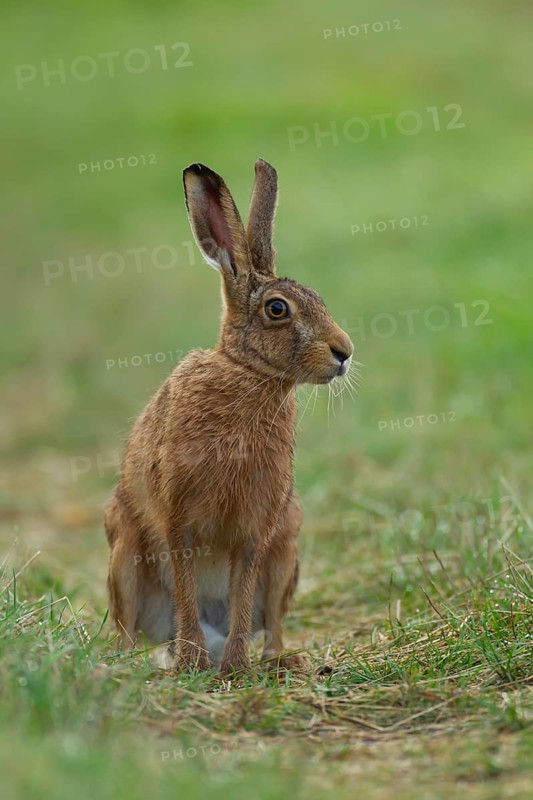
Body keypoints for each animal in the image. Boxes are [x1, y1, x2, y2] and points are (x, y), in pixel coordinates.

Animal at [104, 159, 353, 675]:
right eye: (277, 309)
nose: (345, 352)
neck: (247, 373)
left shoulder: (256, 529)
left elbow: (242, 594)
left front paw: (235, 668)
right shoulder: (177, 519)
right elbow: (184, 587)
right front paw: (195, 664)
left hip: (287, 550)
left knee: (273, 624)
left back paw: (279, 663)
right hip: (124, 555)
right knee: (128, 627)